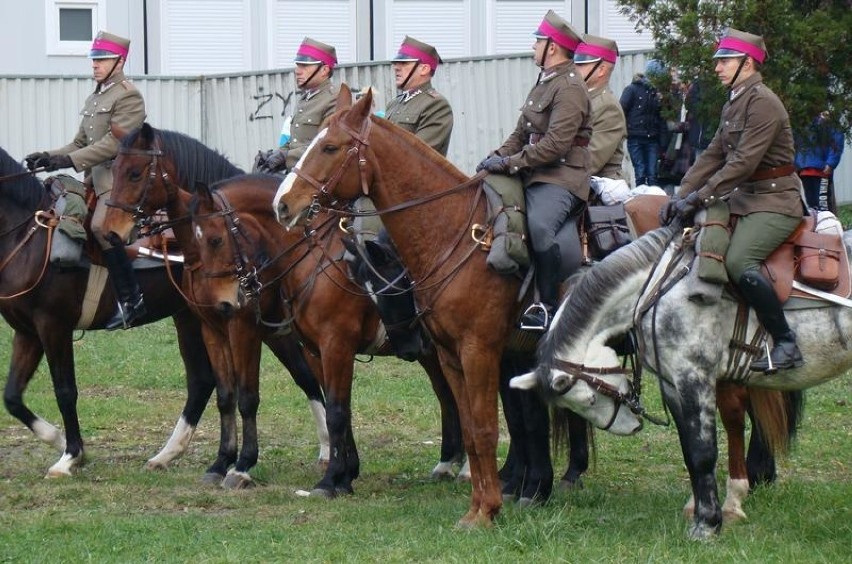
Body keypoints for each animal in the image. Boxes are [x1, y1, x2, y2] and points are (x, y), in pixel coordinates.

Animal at [97, 125, 326, 486]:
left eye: (135, 173)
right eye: (114, 169)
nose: (110, 232)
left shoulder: (244, 327)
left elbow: (247, 396)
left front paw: (243, 464)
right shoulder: (211, 327)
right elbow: (225, 395)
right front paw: (221, 461)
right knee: (307, 375)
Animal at [272, 86, 800, 528]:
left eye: (331, 147)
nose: (283, 205)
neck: (456, 231)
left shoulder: (481, 351)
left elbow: (490, 427)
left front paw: (489, 510)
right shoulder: (453, 354)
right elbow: (477, 427)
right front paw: (488, 501)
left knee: (732, 409)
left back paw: (734, 495)